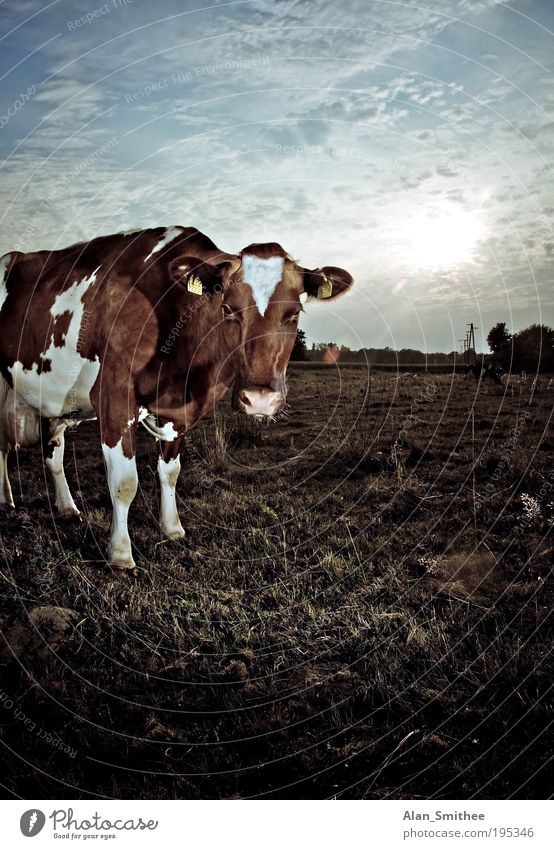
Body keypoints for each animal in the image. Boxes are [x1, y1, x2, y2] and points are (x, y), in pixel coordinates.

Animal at [0, 227, 354, 568]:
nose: (259, 399)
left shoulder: (179, 414)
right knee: (4, 447)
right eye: (228, 308)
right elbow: (124, 483)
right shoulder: (113, 399)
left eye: (294, 313)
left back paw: (66, 507)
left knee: (52, 451)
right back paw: (6, 499)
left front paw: (172, 529)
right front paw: (120, 554)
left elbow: (170, 472)